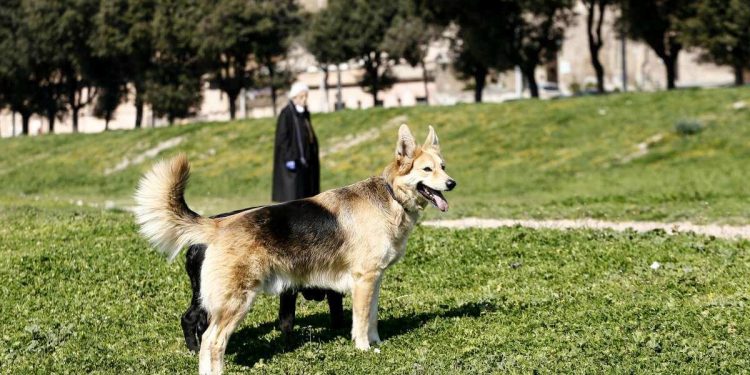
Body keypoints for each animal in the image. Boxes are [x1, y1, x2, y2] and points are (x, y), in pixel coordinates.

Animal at [182, 209, 346, 352]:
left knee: (191, 318)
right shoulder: (291, 290)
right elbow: (288, 320)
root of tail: (194, 247)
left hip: (202, 295)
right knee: (197, 322)